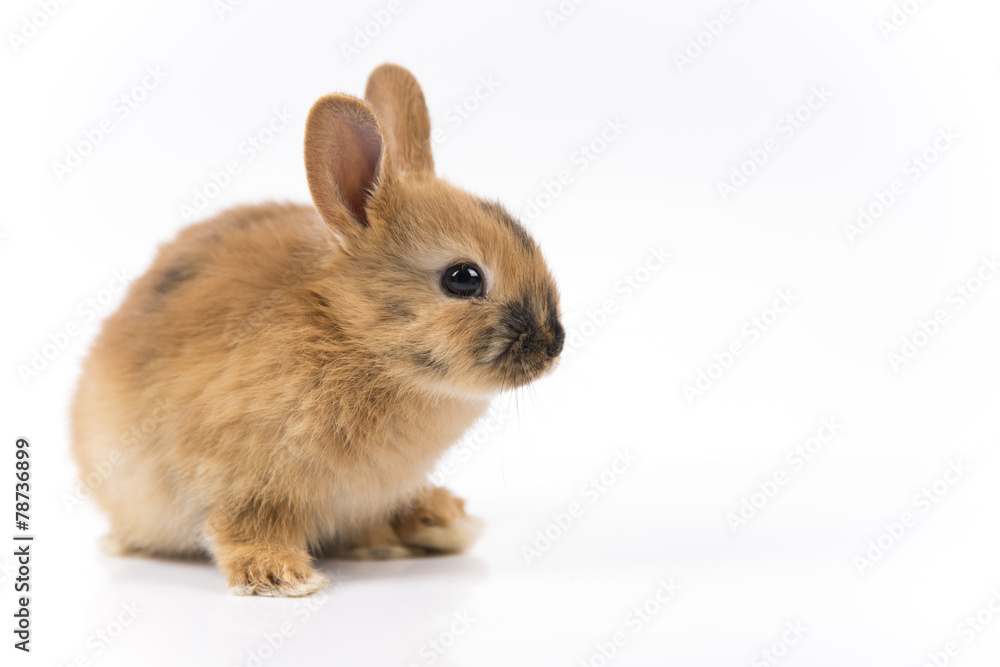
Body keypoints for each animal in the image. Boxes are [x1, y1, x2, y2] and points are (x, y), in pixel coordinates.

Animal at [72, 61, 564, 596]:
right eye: (463, 278)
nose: (553, 345)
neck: (350, 334)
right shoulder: (238, 477)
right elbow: (242, 525)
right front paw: (280, 576)